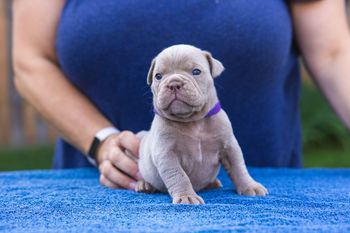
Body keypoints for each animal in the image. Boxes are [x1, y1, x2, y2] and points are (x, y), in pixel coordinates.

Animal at [135, 44, 266, 204]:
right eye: (158, 76)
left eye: (196, 71)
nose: (174, 83)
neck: (193, 121)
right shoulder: (166, 154)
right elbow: (179, 176)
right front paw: (186, 196)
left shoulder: (229, 146)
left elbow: (239, 167)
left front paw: (250, 186)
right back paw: (144, 184)